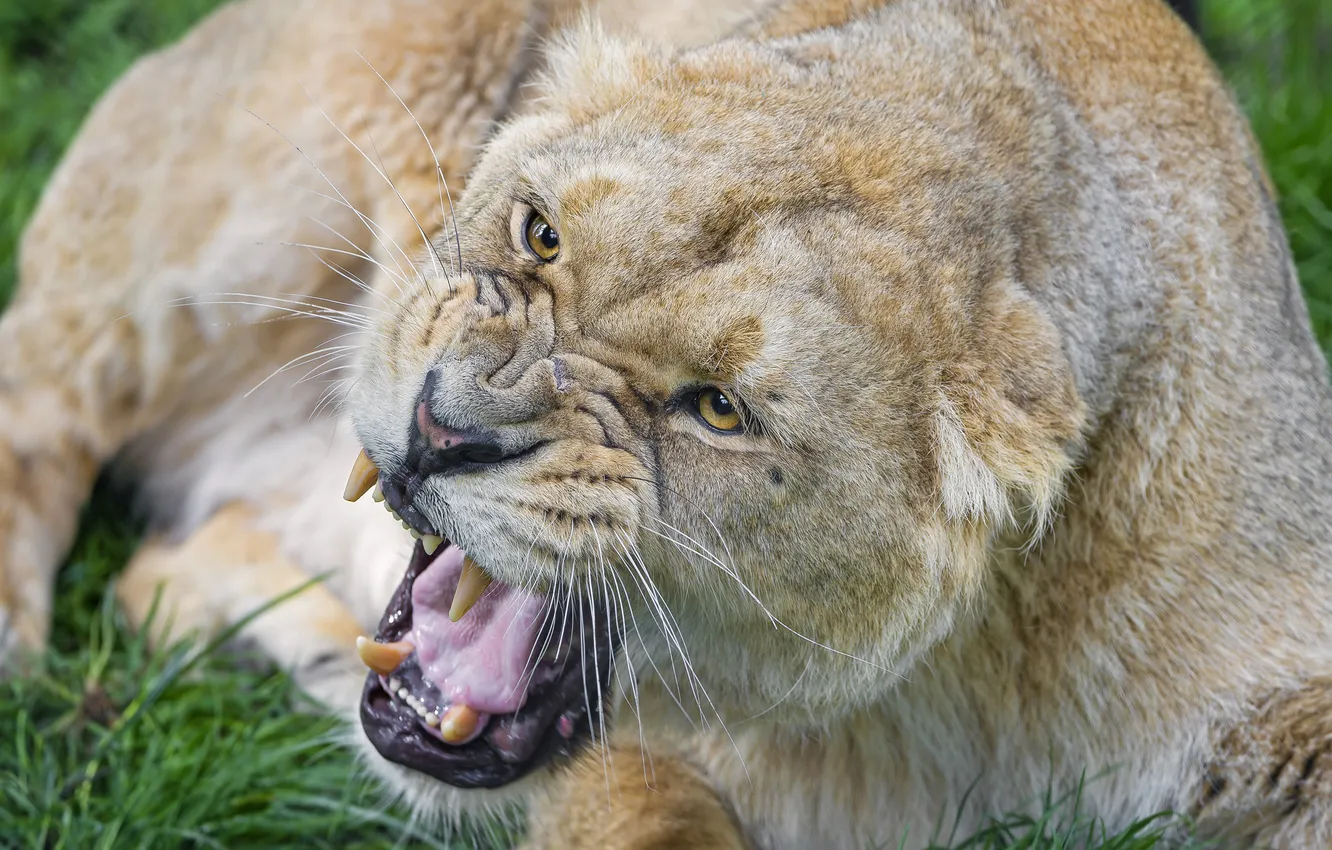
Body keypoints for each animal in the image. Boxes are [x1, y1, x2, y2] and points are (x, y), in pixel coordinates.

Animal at [4, 0, 1329, 847]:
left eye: (720, 408)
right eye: (540, 234)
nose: (441, 428)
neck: (954, 685)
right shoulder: (646, 763)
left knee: (169, 558)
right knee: (38, 381)